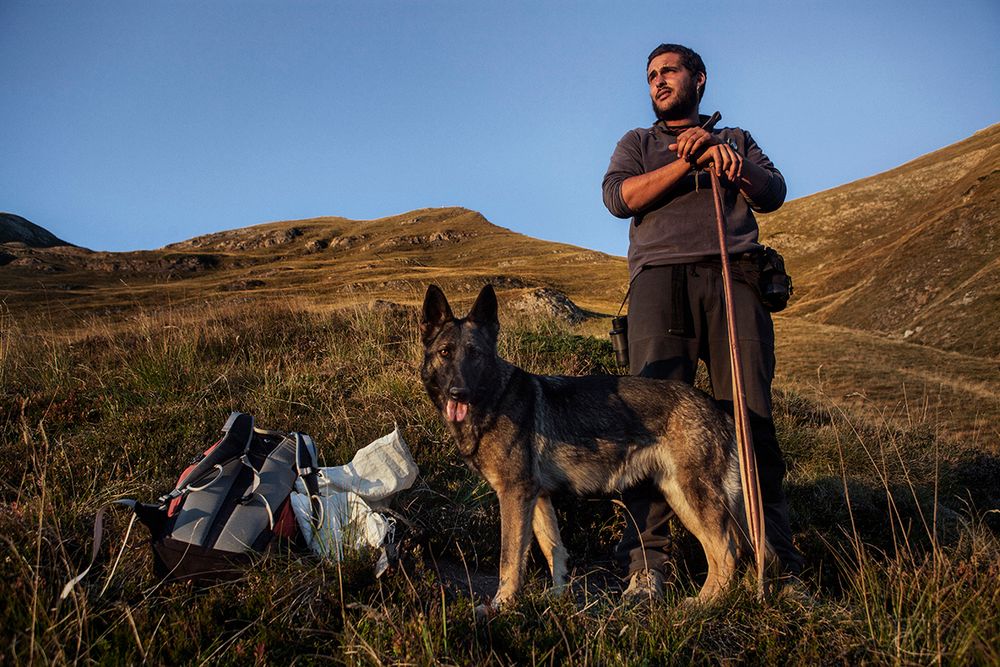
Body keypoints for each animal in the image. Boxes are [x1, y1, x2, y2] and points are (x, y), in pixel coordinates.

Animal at [418, 284, 760, 612]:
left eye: (474, 354)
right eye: (445, 352)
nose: (458, 393)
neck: (494, 398)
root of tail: (717, 408)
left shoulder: (515, 494)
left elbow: (510, 560)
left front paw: (502, 604)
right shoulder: (537, 497)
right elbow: (554, 549)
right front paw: (558, 597)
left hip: (695, 495)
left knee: (727, 550)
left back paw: (705, 604)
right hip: (680, 497)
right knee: (726, 547)